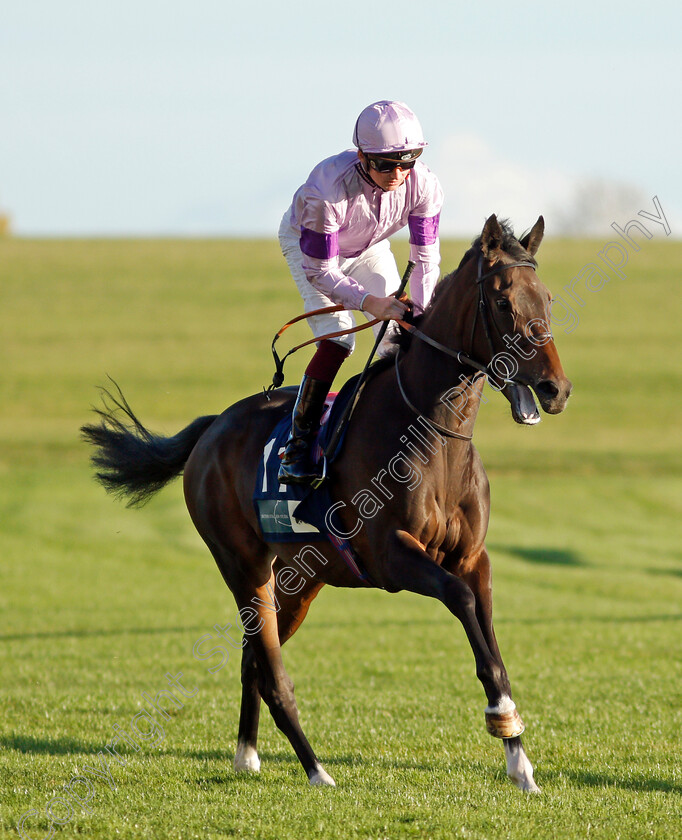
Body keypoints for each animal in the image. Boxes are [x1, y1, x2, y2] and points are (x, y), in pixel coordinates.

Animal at [81, 215, 568, 796]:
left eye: (546, 297)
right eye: (501, 301)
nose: (555, 388)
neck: (432, 434)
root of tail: (213, 426)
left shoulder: (474, 556)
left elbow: (490, 644)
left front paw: (519, 759)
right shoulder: (392, 556)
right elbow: (461, 600)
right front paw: (503, 720)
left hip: (299, 579)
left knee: (252, 661)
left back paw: (247, 755)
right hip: (244, 566)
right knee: (271, 672)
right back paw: (315, 768)